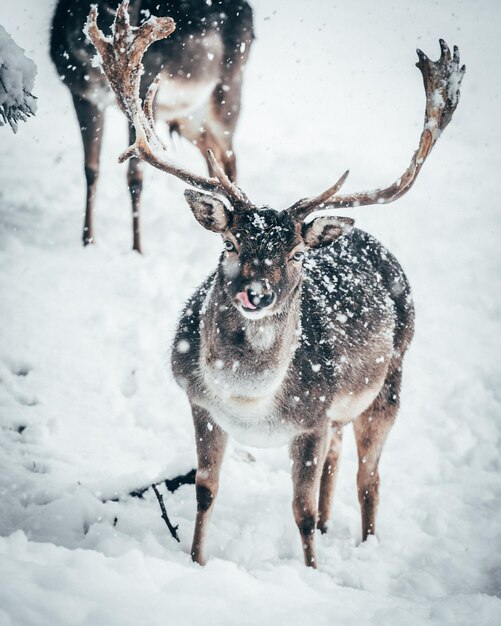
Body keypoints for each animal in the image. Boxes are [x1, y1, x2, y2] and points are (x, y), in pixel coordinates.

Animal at [49, 1, 254, 254]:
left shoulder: (147, 85)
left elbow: (135, 176)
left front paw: (137, 248)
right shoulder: (82, 94)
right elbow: (90, 169)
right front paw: (87, 241)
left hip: (226, 95)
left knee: (230, 158)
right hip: (187, 118)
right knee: (212, 157)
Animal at [87, 1, 464, 564]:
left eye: (296, 253)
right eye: (230, 243)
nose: (256, 292)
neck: (249, 401)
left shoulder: (311, 418)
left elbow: (299, 511)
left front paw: (310, 571)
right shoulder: (200, 404)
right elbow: (206, 491)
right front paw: (196, 561)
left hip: (391, 380)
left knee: (369, 478)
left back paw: (366, 546)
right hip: (341, 413)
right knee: (338, 459)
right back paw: (333, 528)